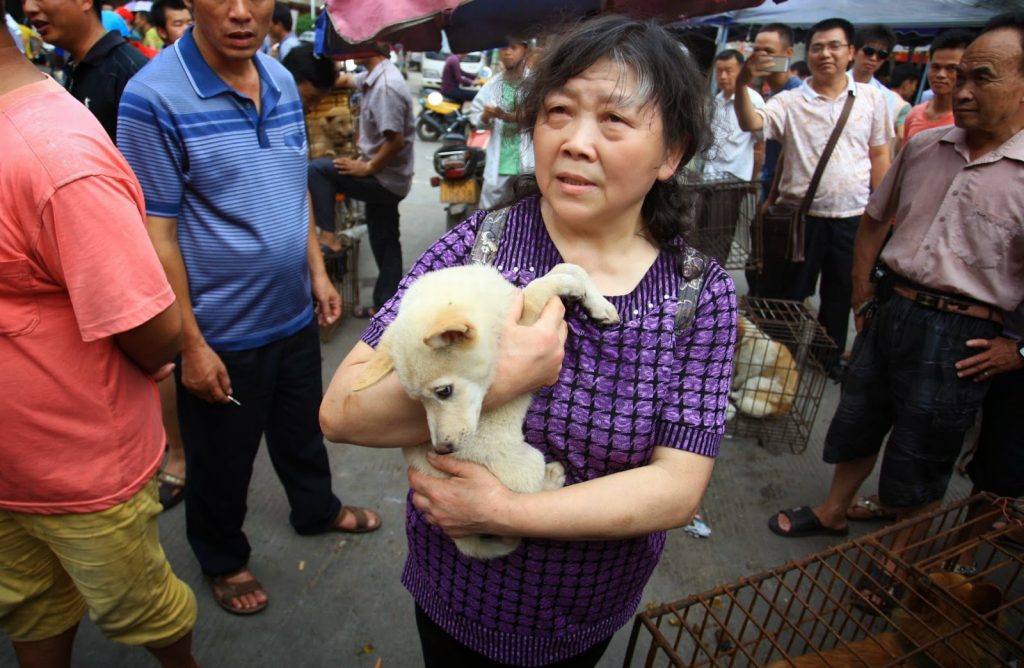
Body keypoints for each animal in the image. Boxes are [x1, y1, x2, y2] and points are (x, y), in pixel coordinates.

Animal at [353, 263, 619, 559]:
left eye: (443, 391)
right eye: (416, 401)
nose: (442, 449)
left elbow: (566, 267)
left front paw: (599, 303)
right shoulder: (526, 321)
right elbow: (539, 286)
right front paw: (569, 286)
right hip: (527, 463)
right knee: (524, 507)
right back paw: (552, 478)